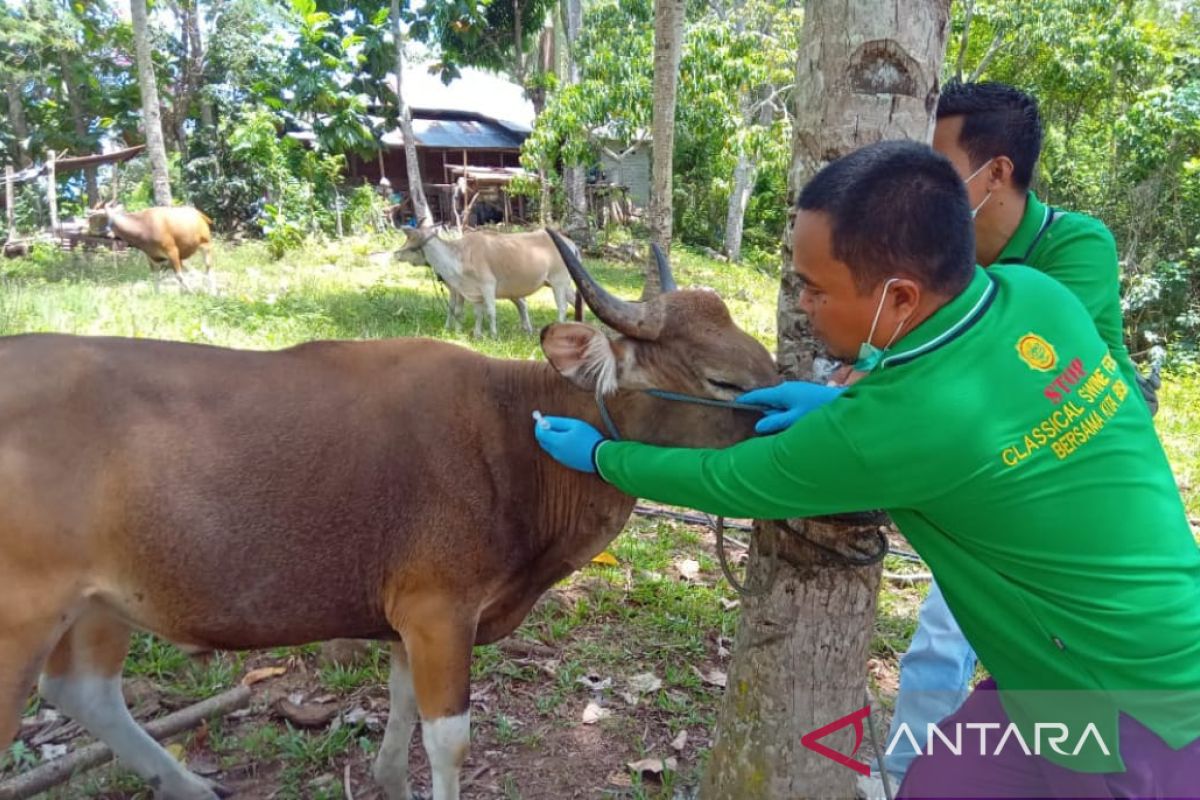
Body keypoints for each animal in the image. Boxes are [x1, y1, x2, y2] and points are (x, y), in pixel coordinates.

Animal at [87, 203, 216, 293]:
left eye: (93, 218)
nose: (87, 229)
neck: (143, 227)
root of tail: (200, 214)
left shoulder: (172, 251)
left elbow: (179, 276)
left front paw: (192, 293)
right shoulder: (153, 258)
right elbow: (156, 278)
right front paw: (157, 295)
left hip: (206, 245)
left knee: (208, 269)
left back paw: (211, 290)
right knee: (196, 271)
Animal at [396, 226, 578, 335]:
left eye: (410, 239)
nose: (396, 253)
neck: (460, 255)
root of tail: (570, 242)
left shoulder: (487, 285)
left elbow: (489, 311)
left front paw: (492, 334)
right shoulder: (470, 291)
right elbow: (474, 312)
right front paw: (475, 333)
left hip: (559, 281)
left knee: (562, 306)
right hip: (561, 284)